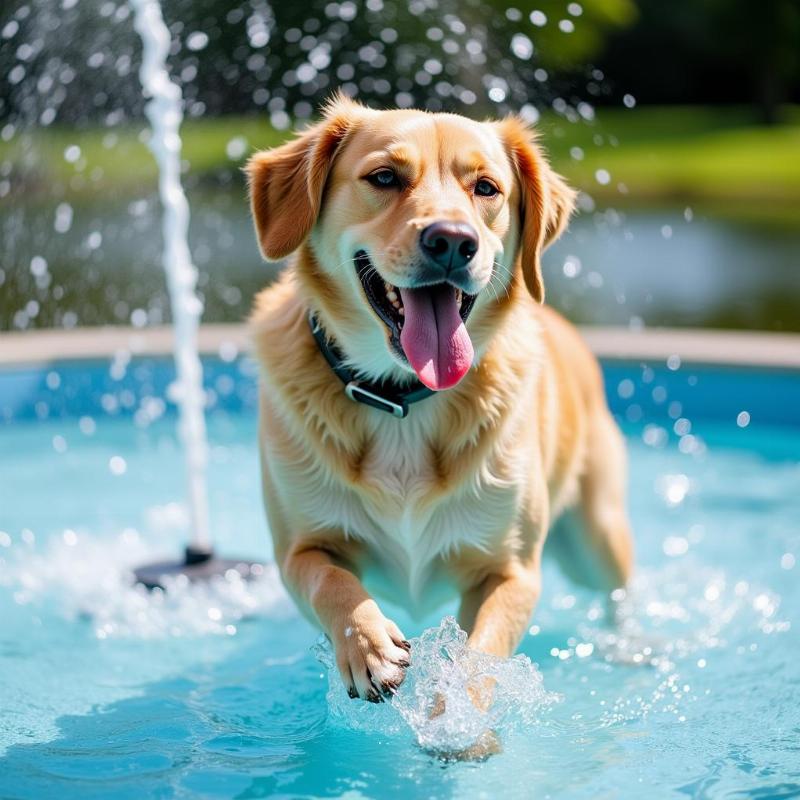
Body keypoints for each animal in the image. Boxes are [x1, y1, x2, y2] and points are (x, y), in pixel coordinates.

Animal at [247, 95, 636, 712]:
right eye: (384, 177)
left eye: (486, 188)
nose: (453, 241)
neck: (402, 399)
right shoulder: (299, 550)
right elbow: (332, 582)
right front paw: (368, 644)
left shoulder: (511, 571)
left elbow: (481, 654)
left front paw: (457, 714)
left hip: (596, 536)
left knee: (620, 593)